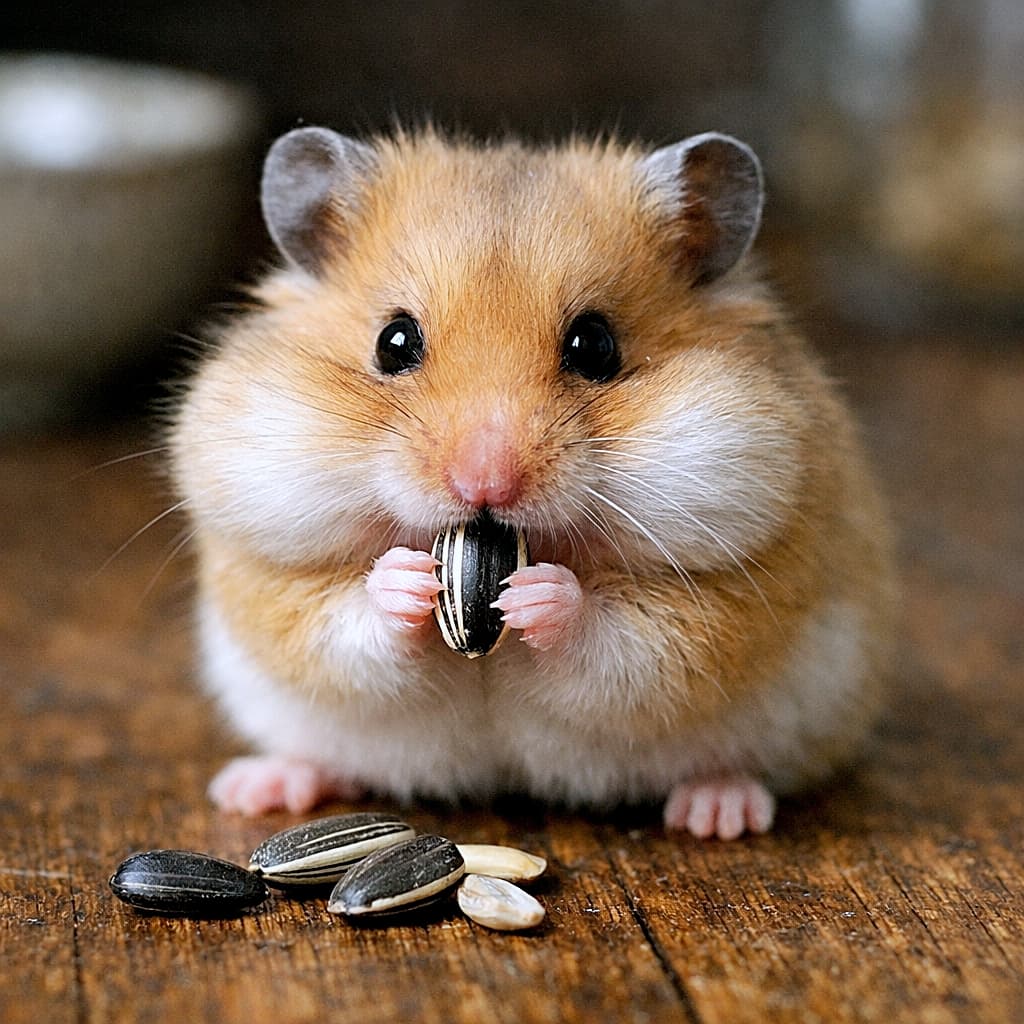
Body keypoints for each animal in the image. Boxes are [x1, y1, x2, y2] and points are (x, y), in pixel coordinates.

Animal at [171, 125, 896, 839]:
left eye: (595, 346)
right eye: (393, 341)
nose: (484, 485)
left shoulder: (729, 592)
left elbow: (626, 639)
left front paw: (535, 595)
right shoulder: (267, 577)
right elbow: (338, 621)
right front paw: (411, 580)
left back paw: (719, 813)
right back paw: (255, 789)